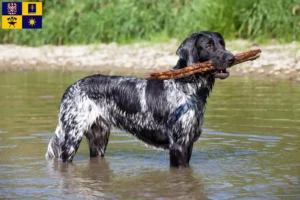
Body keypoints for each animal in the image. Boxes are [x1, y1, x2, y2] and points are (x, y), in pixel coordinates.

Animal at [45, 30, 236, 167]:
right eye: (209, 45)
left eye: (223, 44)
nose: (232, 58)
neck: (187, 86)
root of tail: (71, 88)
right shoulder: (178, 145)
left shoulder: (188, 143)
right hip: (70, 140)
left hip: (99, 139)